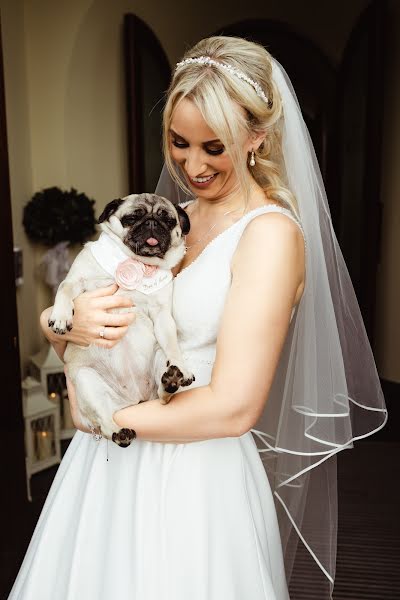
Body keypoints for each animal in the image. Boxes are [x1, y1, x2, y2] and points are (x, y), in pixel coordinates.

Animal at [48, 192, 195, 446]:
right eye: (132, 218)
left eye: (168, 221)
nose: (152, 223)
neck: (135, 261)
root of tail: (134, 398)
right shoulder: (77, 280)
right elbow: (64, 289)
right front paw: (61, 316)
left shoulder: (162, 315)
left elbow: (172, 344)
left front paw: (182, 368)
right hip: (88, 382)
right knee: (105, 423)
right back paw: (120, 431)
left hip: (158, 361)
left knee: (163, 397)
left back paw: (171, 381)